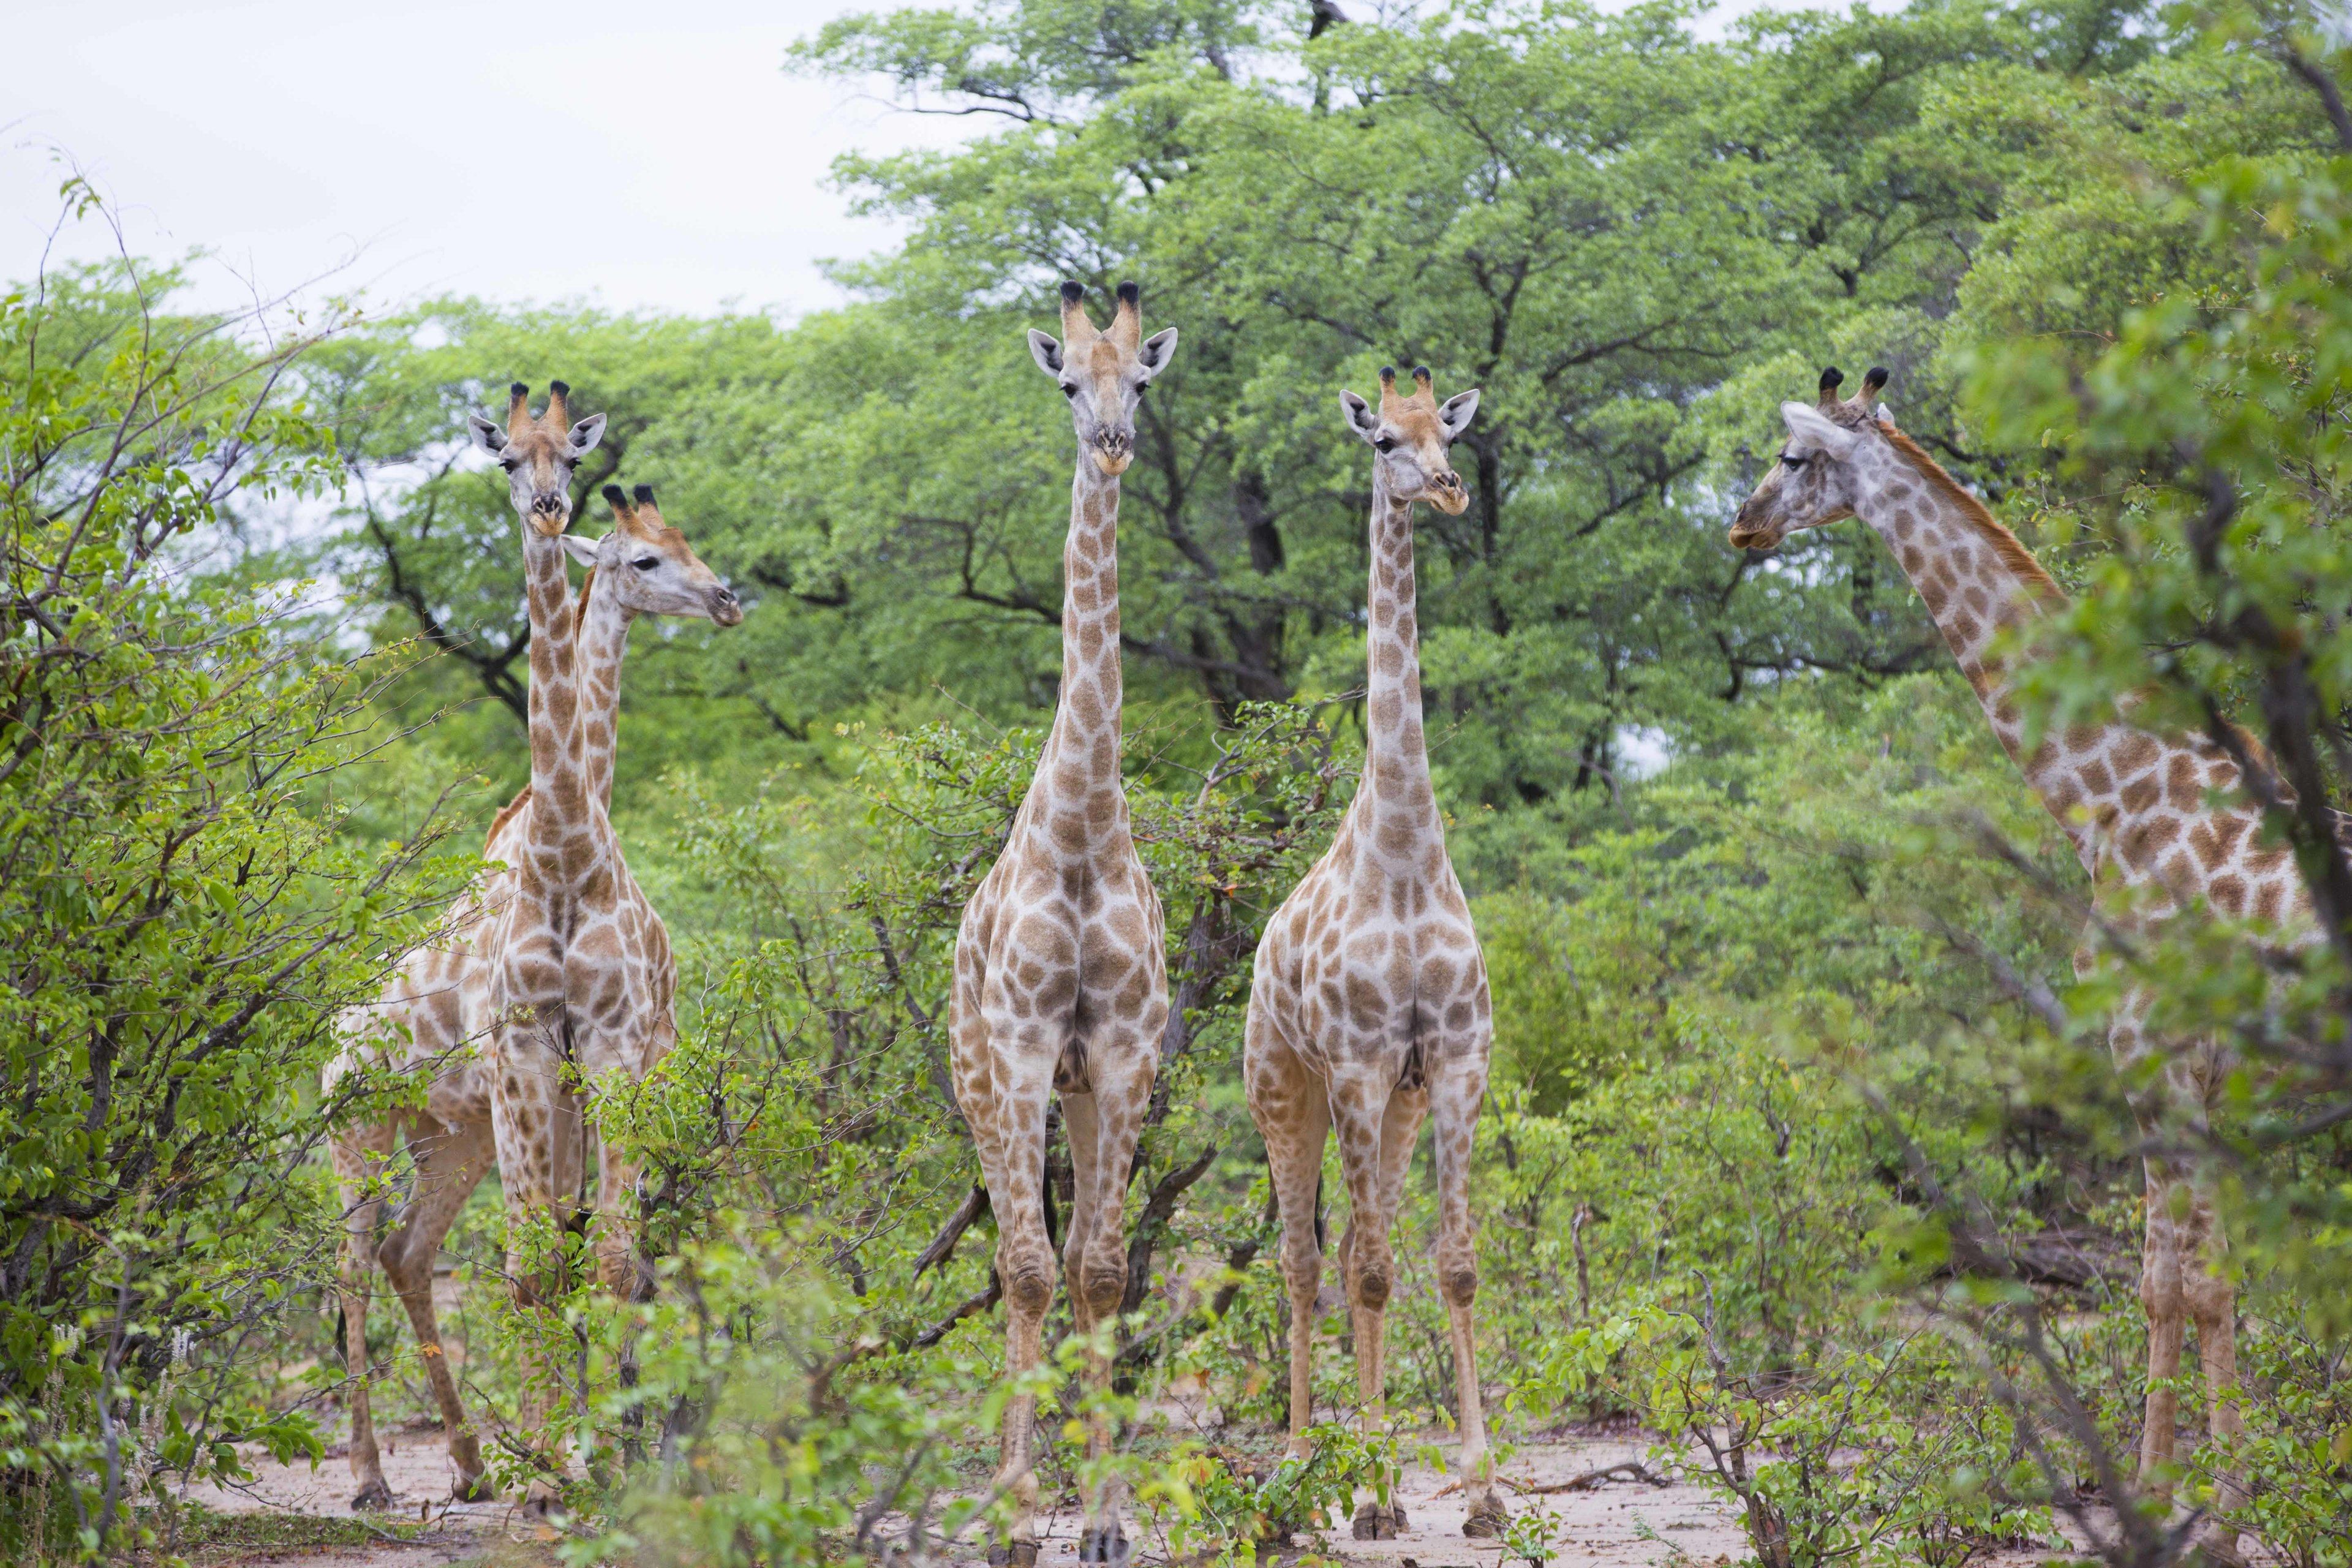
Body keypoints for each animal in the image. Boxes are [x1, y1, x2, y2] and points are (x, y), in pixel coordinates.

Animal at [325, 440, 741, 1509]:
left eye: (688, 541)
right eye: (644, 559)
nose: (726, 598)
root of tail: (329, 1039)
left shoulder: (596, 1072)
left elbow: (592, 1245)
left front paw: (593, 1452)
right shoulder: (556, 1074)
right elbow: (561, 1253)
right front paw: (574, 1456)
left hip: (452, 1137)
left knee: (411, 1253)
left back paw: (474, 1464)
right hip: (357, 1134)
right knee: (353, 1268)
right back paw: (375, 1477)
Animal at [1730, 365, 2275, 1561]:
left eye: (1791, 458)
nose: (1741, 526)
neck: (2115, 796)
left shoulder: (2153, 1043)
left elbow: (2178, 1282)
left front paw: (2186, 1509)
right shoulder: (2198, 1062)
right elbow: (2196, 1276)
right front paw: (2202, 1497)